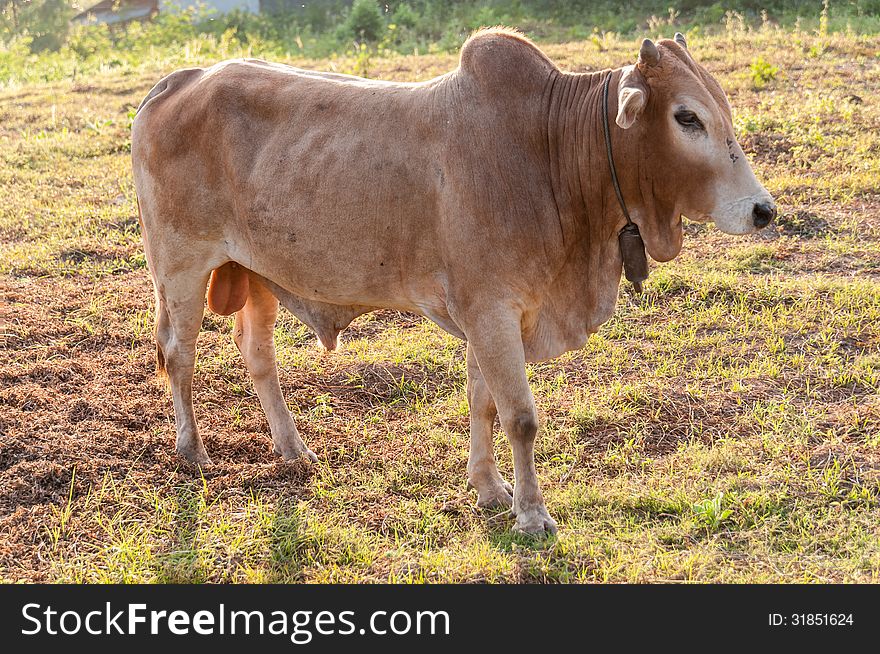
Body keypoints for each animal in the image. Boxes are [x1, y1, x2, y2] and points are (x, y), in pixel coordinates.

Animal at [132, 28, 776, 536]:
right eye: (687, 116)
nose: (762, 211)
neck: (550, 151)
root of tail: (178, 82)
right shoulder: (491, 311)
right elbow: (520, 416)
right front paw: (531, 515)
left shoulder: (492, 317)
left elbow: (483, 404)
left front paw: (490, 489)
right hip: (180, 268)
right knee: (178, 354)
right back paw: (192, 450)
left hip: (258, 273)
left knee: (257, 355)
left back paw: (293, 449)